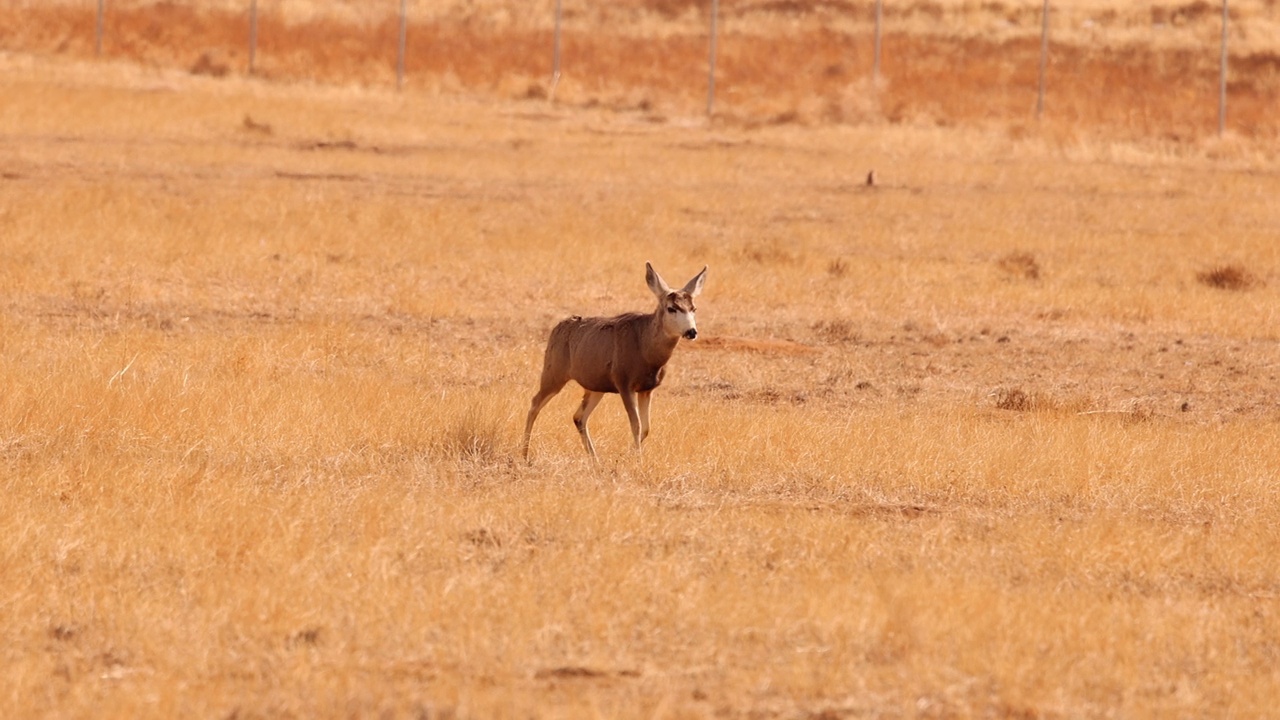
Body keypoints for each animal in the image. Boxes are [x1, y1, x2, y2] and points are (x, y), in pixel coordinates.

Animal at [527, 260, 716, 456]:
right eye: (672, 308)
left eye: (694, 308)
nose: (691, 331)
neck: (646, 351)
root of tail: (556, 328)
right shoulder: (624, 382)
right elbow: (636, 426)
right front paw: (636, 458)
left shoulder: (647, 388)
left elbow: (646, 428)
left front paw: (626, 455)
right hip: (553, 372)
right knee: (534, 404)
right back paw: (525, 454)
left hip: (595, 386)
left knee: (578, 416)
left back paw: (595, 459)